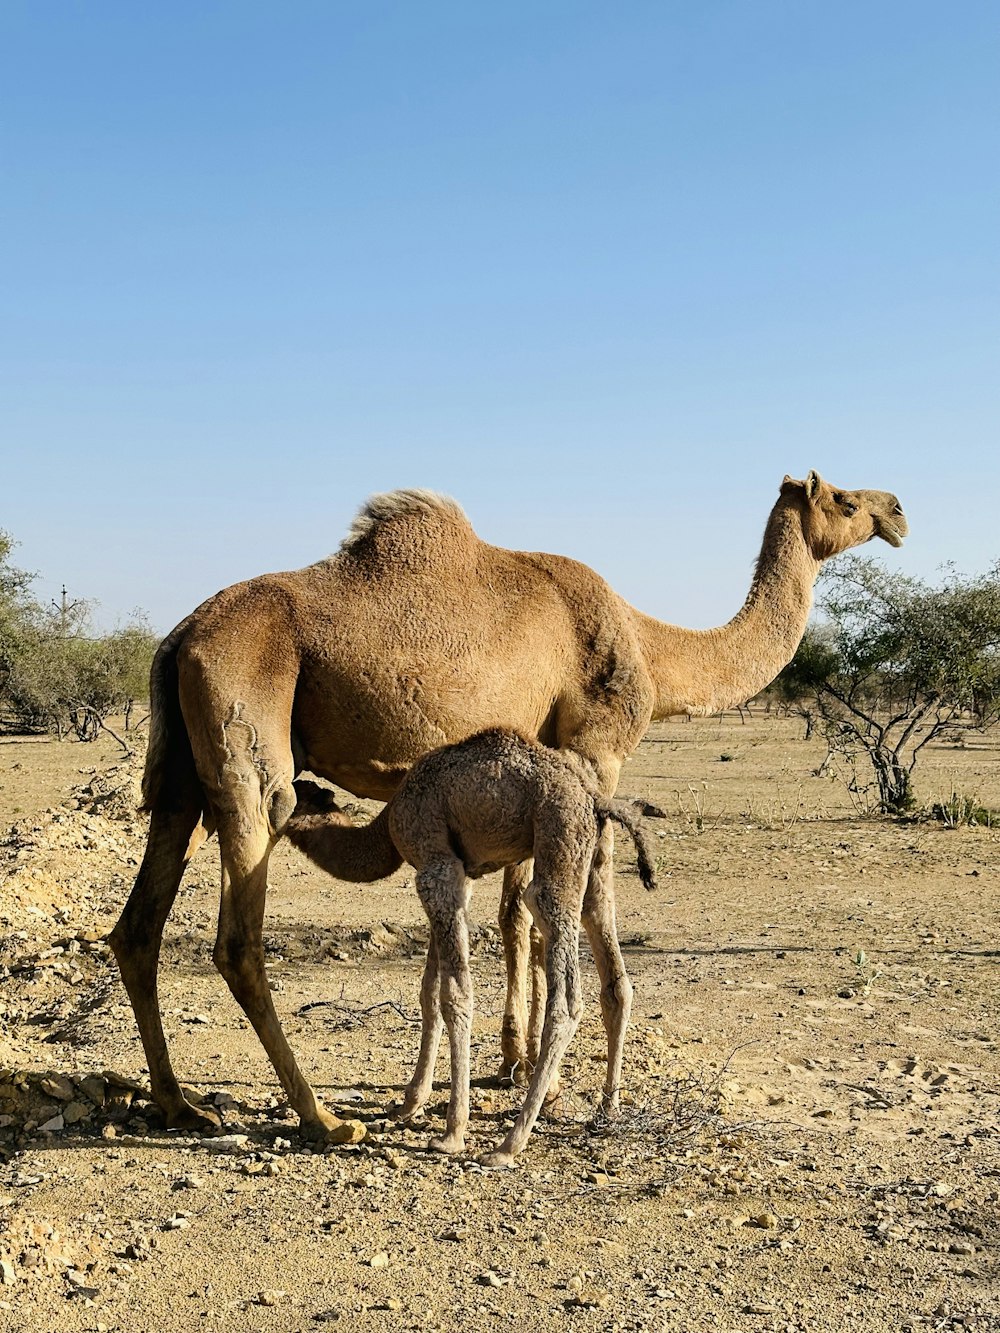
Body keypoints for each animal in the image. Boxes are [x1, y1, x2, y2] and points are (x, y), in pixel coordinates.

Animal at [285, 730, 658, 1167]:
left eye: (294, 798)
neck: (388, 825)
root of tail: (596, 800)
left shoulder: (437, 867)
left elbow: (455, 995)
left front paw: (451, 1132)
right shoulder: (451, 875)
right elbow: (428, 991)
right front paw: (409, 1103)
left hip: (558, 842)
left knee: (564, 997)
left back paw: (510, 1143)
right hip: (594, 861)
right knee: (615, 977)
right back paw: (607, 1109)